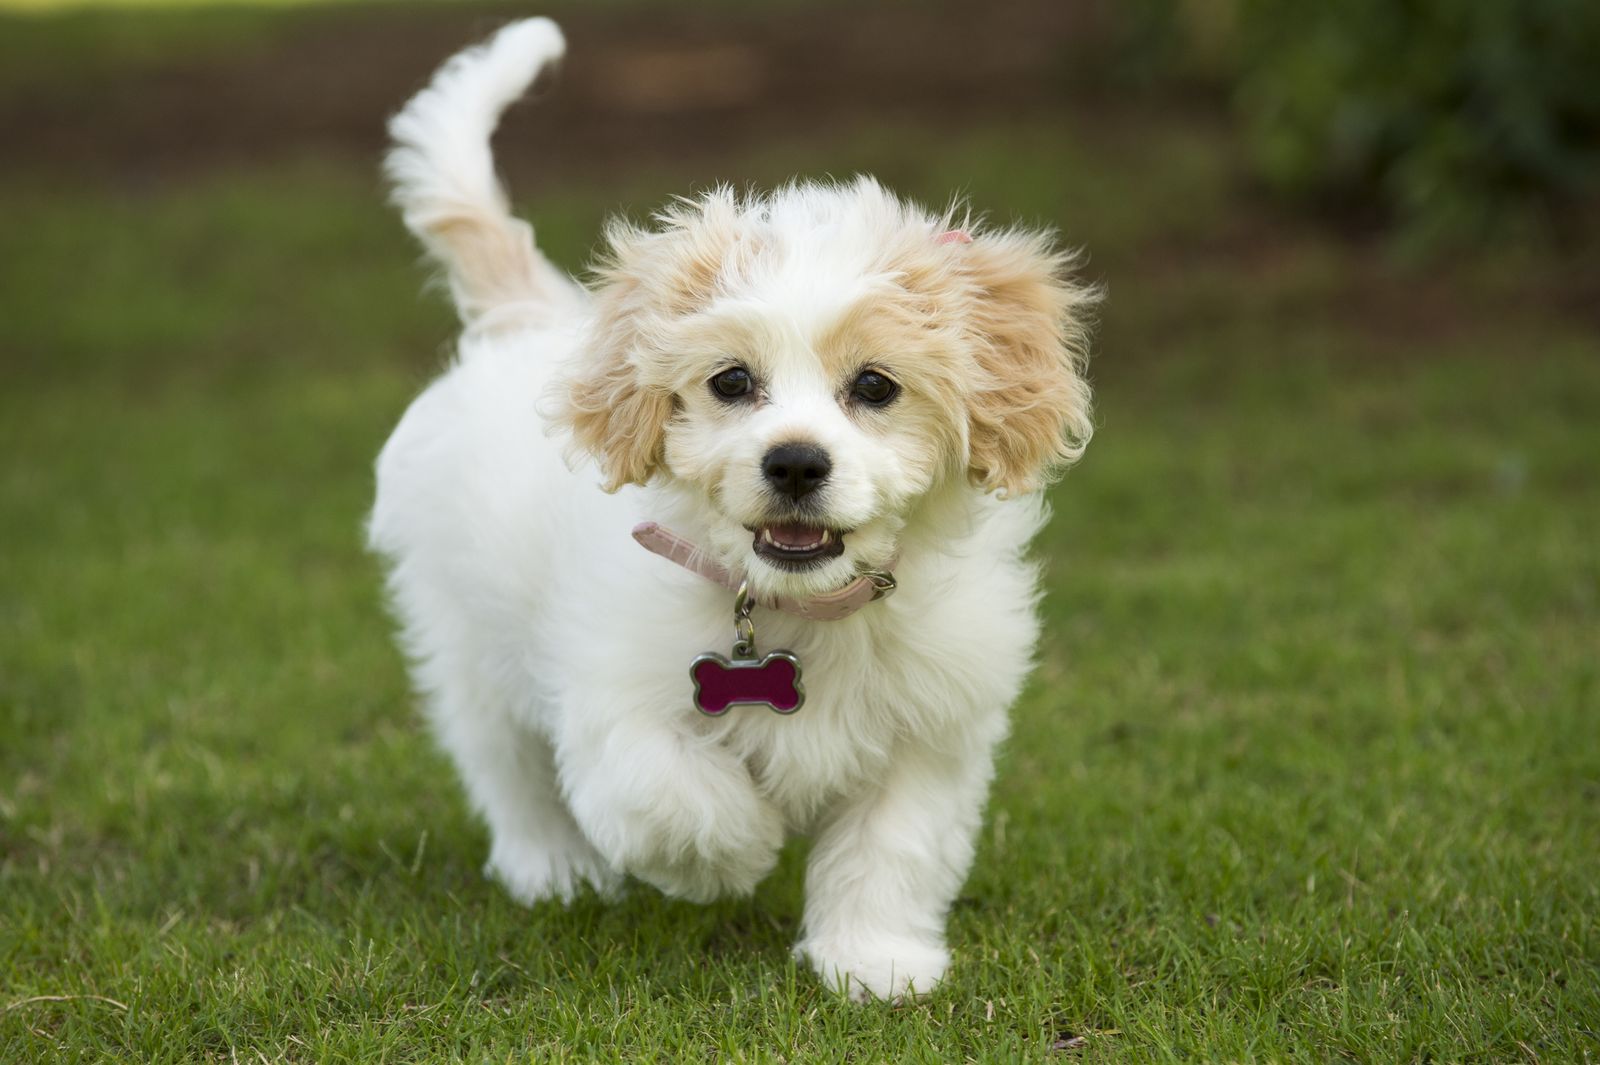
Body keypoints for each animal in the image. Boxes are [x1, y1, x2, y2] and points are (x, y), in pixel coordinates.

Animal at [371, 18, 1100, 997]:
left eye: (875, 385)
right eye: (730, 381)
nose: (793, 461)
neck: (801, 608)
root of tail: (531, 319)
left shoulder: (932, 730)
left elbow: (892, 847)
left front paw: (874, 960)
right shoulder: (613, 699)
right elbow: (671, 796)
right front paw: (741, 851)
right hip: (467, 639)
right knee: (505, 764)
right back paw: (551, 867)